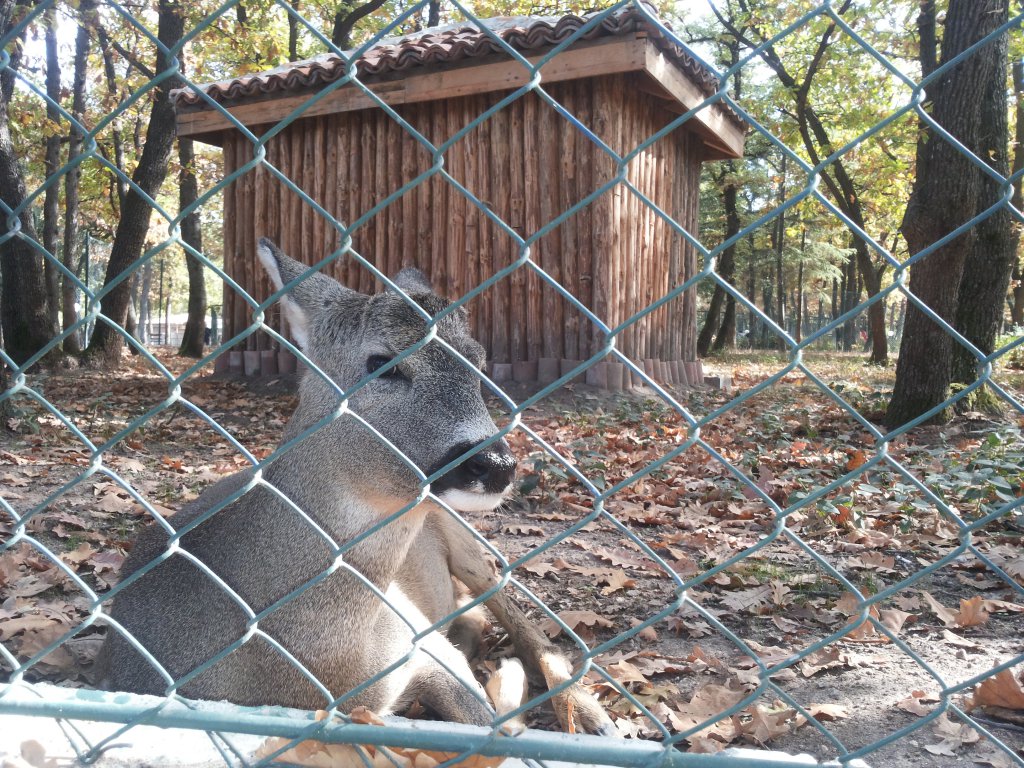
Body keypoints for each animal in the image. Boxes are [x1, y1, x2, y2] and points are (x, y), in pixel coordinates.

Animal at [99, 237, 610, 737]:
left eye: (480, 362)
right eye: (382, 362)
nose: (495, 464)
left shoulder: (420, 643)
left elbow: (489, 728)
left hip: (470, 549)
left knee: (533, 632)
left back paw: (591, 714)